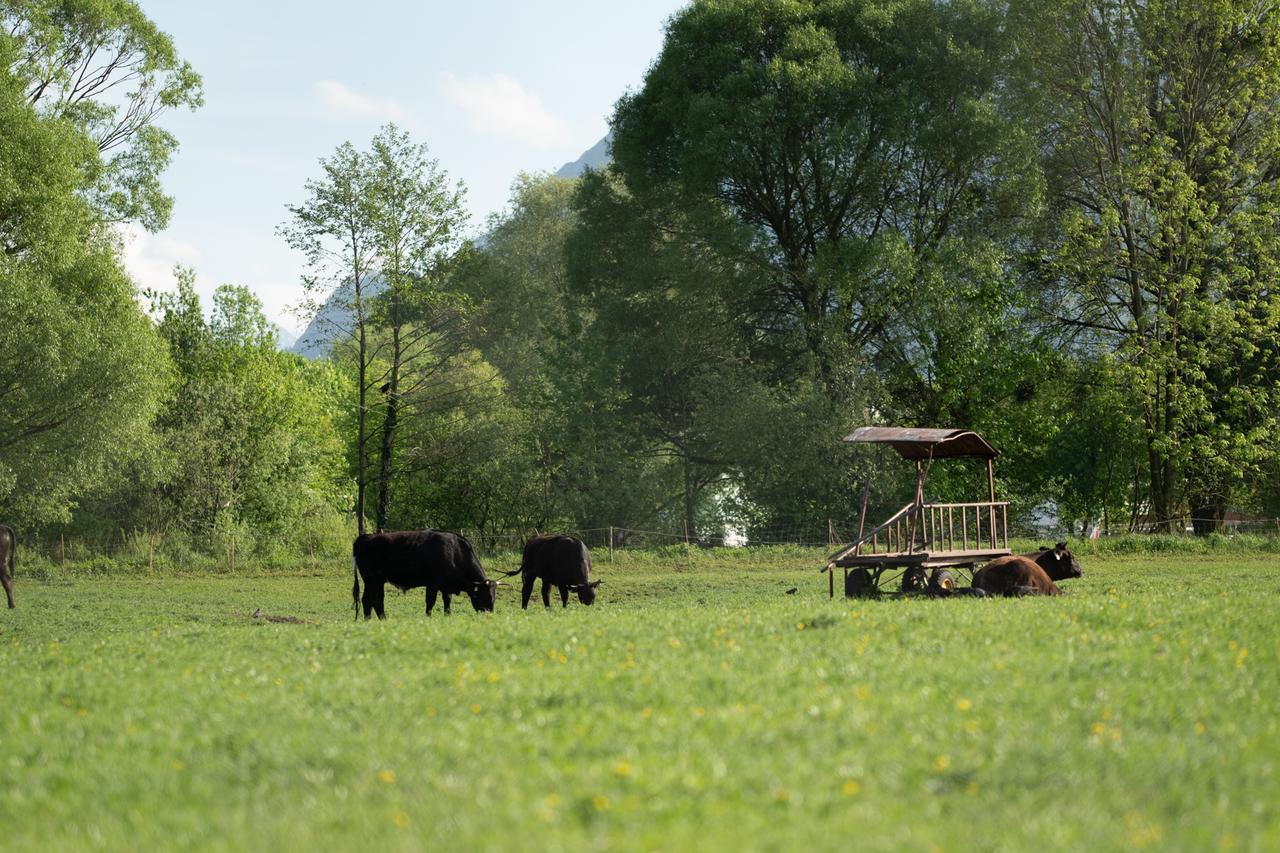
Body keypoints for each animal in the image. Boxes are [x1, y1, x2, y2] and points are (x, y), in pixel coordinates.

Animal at [353, 525, 496, 617]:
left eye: (493, 596)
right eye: (485, 595)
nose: (489, 614)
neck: (456, 553)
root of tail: (366, 537)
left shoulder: (445, 586)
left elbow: (447, 601)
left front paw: (448, 616)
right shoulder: (433, 584)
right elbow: (430, 602)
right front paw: (428, 617)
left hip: (377, 582)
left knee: (373, 601)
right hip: (372, 581)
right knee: (370, 600)